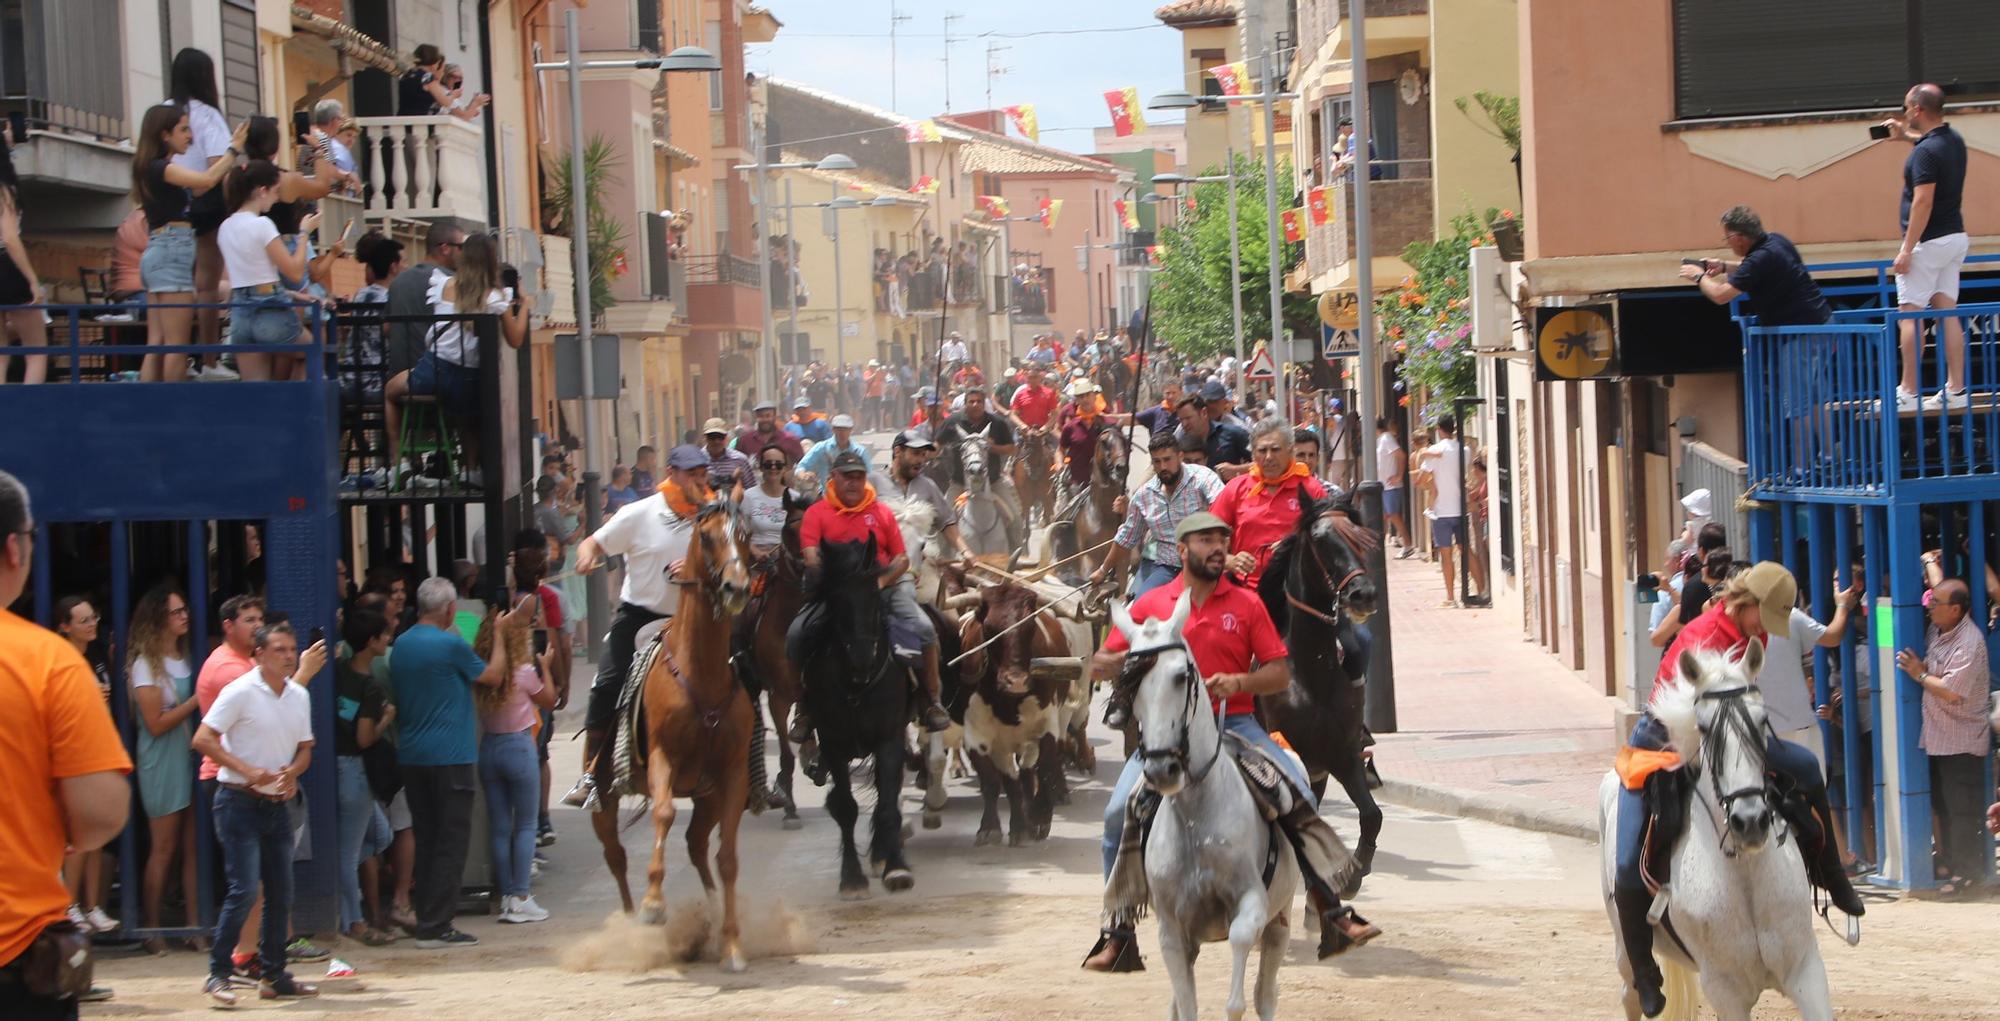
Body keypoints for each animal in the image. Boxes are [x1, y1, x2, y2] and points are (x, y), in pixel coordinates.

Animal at [592, 502, 756, 972]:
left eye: (745, 534)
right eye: (707, 536)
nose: (736, 587)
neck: (700, 674)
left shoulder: (732, 777)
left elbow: (728, 859)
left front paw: (733, 944)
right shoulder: (663, 759)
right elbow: (663, 814)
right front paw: (653, 905)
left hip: (707, 797)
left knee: (698, 846)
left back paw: (712, 919)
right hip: (604, 799)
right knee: (616, 855)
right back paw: (633, 925)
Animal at [800, 536, 916, 896]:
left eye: (875, 597)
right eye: (837, 600)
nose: (863, 658)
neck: (856, 685)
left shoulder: (889, 738)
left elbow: (889, 803)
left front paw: (896, 867)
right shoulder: (833, 743)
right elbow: (845, 807)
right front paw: (851, 877)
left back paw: (882, 854)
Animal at [1128, 592, 1296, 1021]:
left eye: (1180, 677)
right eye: (1129, 683)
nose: (1162, 769)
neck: (1195, 819)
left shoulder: (1252, 904)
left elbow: (1237, 991)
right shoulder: (1173, 930)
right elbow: (1186, 1005)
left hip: (1281, 919)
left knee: (1265, 993)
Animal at [1256, 490, 1384, 872]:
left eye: (1360, 538)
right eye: (1319, 539)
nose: (1363, 594)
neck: (1310, 676)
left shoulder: (1341, 756)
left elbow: (1371, 816)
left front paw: (1355, 869)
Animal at [1600, 644, 1832, 1021]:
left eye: (1762, 721)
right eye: (1704, 728)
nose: (1749, 821)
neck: (1746, 879)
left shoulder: (1805, 969)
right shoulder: (1725, 990)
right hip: (1624, 949)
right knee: (1631, 995)